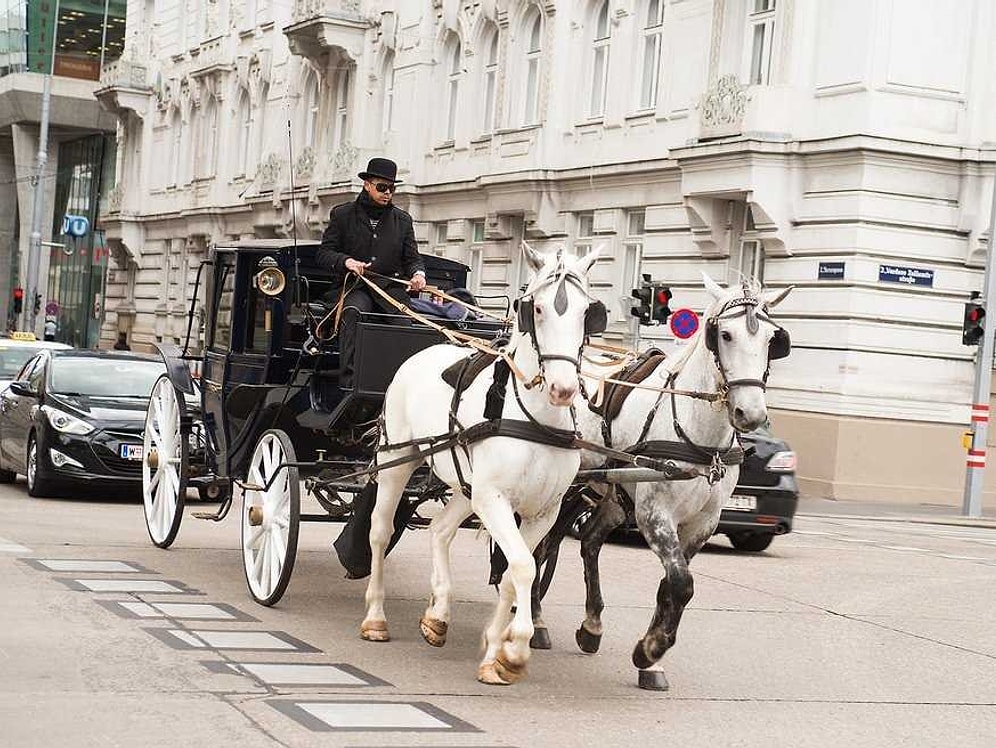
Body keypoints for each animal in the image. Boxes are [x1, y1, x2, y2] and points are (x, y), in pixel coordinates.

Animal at [364, 244, 604, 684]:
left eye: (586, 312)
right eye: (537, 308)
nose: (563, 389)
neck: (536, 421)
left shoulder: (543, 511)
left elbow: (513, 572)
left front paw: (495, 650)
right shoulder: (495, 500)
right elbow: (523, 567)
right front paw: (515, 649)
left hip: (466, 486)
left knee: (441, 530)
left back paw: (438, 614)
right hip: (397, 462)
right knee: (380, 531)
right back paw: (375, 617)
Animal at [528, 274, 792, 688]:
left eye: (772, 339)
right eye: (725, 334)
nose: (750, 414)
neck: (701, 438)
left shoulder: (702, 523)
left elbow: (670, 585)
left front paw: (651, 661)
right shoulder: (655, 515)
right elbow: (682, 583)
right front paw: (649, 650)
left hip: (606, 493)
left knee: (587, 542)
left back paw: (591, 626)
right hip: (564, 490)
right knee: (542, 547)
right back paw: (535, 620)